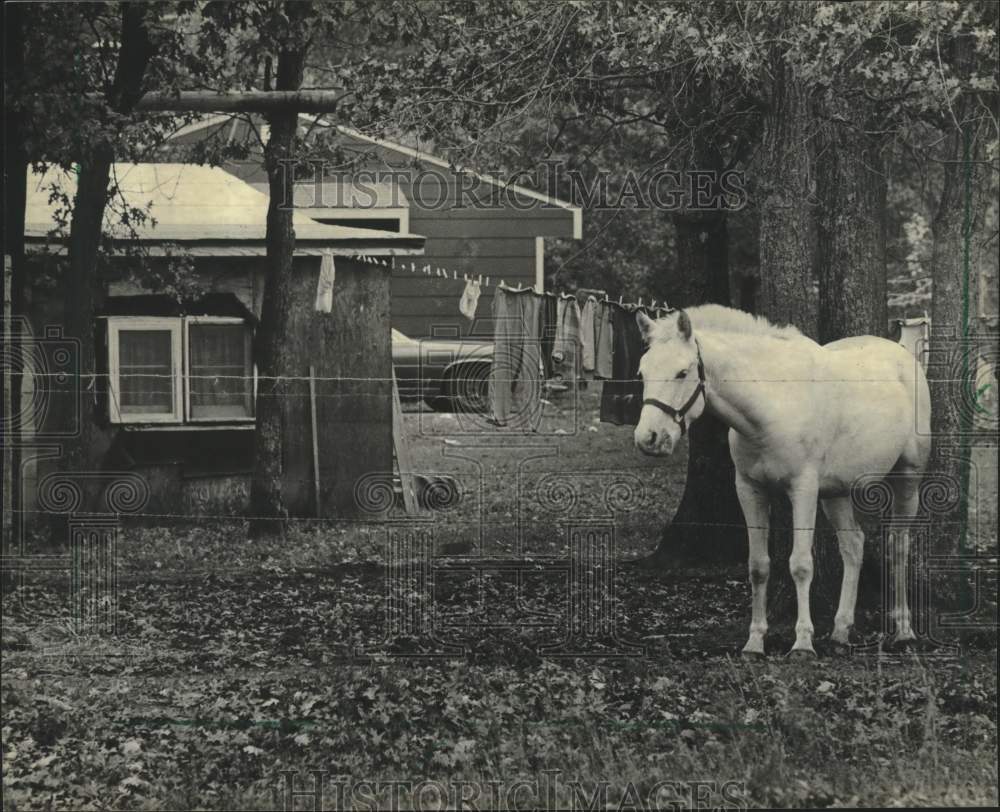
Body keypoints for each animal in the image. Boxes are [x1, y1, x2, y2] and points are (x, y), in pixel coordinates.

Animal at [636, 302, 932, 656]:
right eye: (642, 372)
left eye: (682, 372)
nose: (649, 439)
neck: (774, 401)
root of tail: (903, 353)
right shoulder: (750, 490)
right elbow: (758, 566)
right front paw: (754, 642)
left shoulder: (802, 490)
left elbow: (801, 564)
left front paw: (802, 643)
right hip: (835, 493)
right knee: (853, 546)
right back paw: (840, 631)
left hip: (907, 478)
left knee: (898, 545)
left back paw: (904, 630)